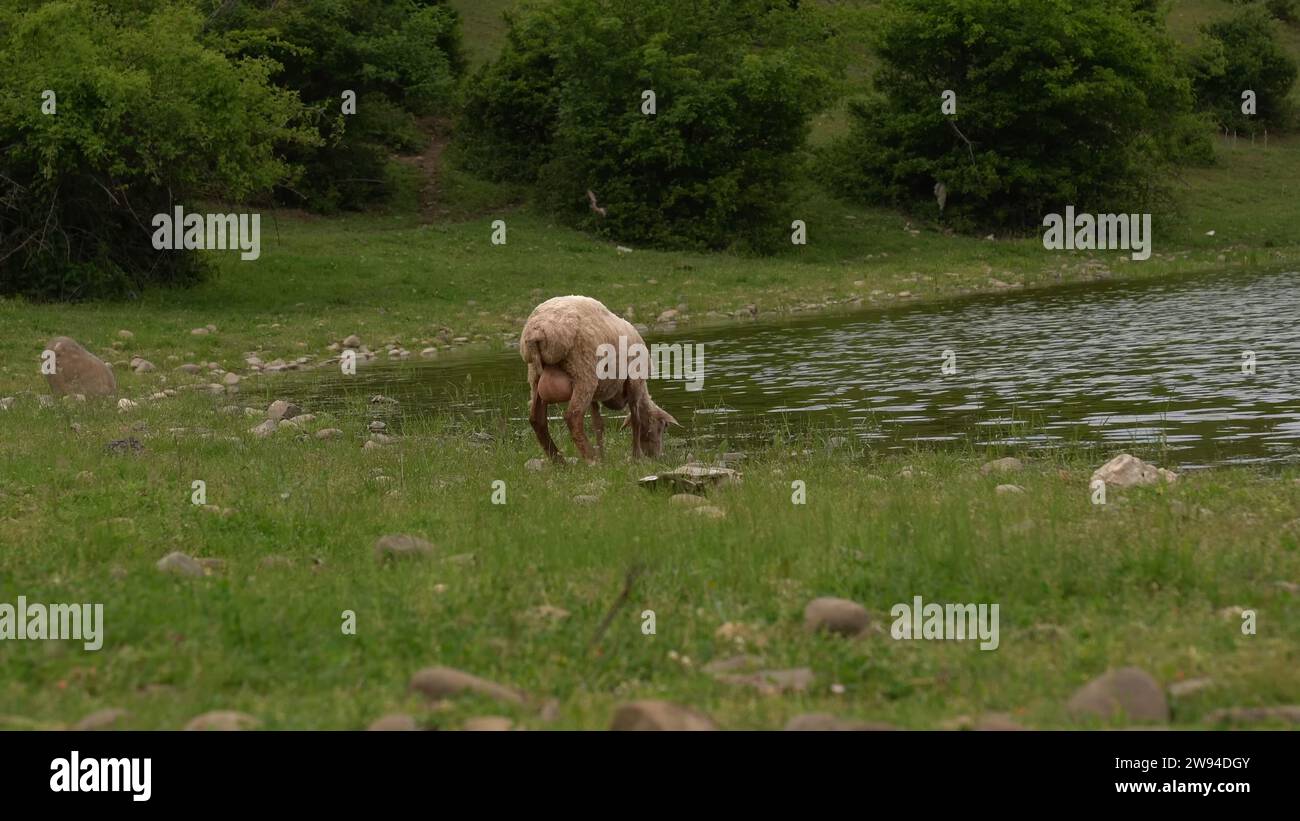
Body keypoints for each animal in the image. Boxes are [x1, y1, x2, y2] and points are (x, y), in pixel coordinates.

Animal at [517, 294, 681, 462]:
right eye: (663, 427)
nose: (656, 456)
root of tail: (537, 330)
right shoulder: (635, 382)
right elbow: (637, 420)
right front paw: (636, 456)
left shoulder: (597, 393)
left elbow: (598, 424)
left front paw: (604, 457)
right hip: (583, 372)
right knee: (573, 417)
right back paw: (590, 458)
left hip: (535, 376)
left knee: (537, 419)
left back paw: (559, 460)